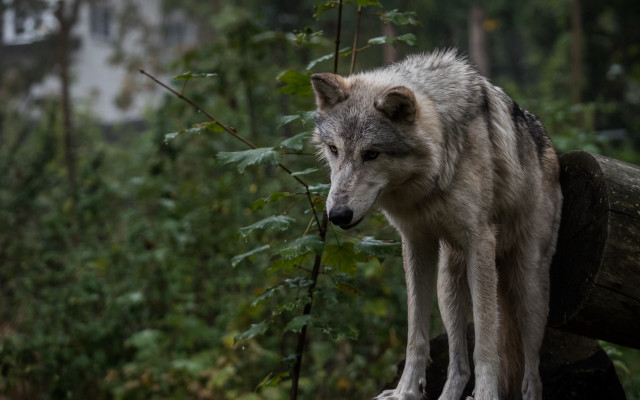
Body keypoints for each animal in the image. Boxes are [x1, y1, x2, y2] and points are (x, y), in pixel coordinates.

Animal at [310, 50, 562, 400]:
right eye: (334, 150)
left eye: (371, 154)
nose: (337, 215)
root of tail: (551, 147)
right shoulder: (416, 243)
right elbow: (415, 335)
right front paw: (404, 391)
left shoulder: (480, 242)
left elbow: (486, 341)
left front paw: (485, 395)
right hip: (448, 286)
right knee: (458, 364)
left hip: (529, 291)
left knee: (532, 376)